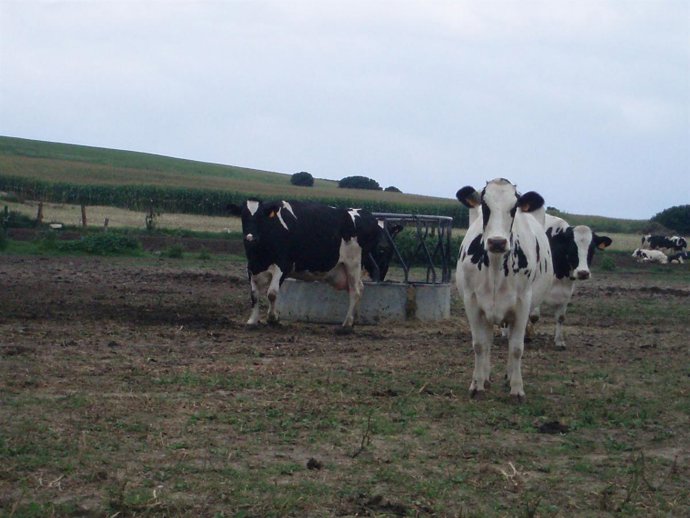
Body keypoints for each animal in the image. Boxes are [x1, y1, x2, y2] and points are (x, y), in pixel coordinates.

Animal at [228, 199, 384, 331]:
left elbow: (272, 293)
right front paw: (252, 321)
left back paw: (346, 324)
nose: (250, 238)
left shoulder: (283, 265)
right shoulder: (252, 268)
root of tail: (367, 215)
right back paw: (353, 320)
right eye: (243, 217)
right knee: (360, 288)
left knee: (355, 291)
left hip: (353, 263)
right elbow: (254, 295)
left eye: (261, 217)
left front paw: (273, 318)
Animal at [455, 178, 553, 401]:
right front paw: (477, 385)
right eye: (485, 206)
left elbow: (516, 348)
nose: (497, 242)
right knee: (487, 342)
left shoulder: (523, 305)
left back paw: (508, 377)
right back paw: (486, 377)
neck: (495, 267)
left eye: (514, 207)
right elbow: (480, 345)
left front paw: (517, 388)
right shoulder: (472, 302)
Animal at [540, 214, 612, 349]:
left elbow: (561, 318)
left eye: (592, 249)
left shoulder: (566, 294)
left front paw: (559, 341)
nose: (583, 273)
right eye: (572, 248)